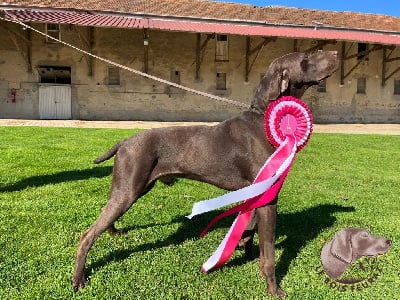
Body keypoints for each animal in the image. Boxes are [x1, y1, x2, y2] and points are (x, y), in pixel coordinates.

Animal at [71, 50, 338, 296]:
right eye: (306, 57)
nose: (335, 53)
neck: (264, 119)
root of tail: (124, 141)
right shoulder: (268, 199)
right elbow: (270, 253)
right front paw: (273, 288)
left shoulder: (256, 194)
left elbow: (249, 230)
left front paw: (246, 253)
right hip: (129, 190)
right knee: (87, 235)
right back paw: (79, 278)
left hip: (129, 188)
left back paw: (112, 233)